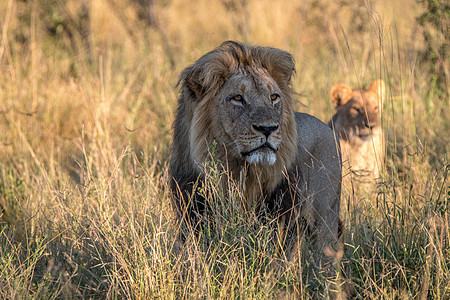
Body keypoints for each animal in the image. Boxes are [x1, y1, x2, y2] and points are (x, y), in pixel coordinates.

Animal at [169, 41, 342, 258]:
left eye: (273, 97)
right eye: (237, 98)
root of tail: (327, 127)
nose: (268, 128)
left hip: (325, 219)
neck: (241, 172)